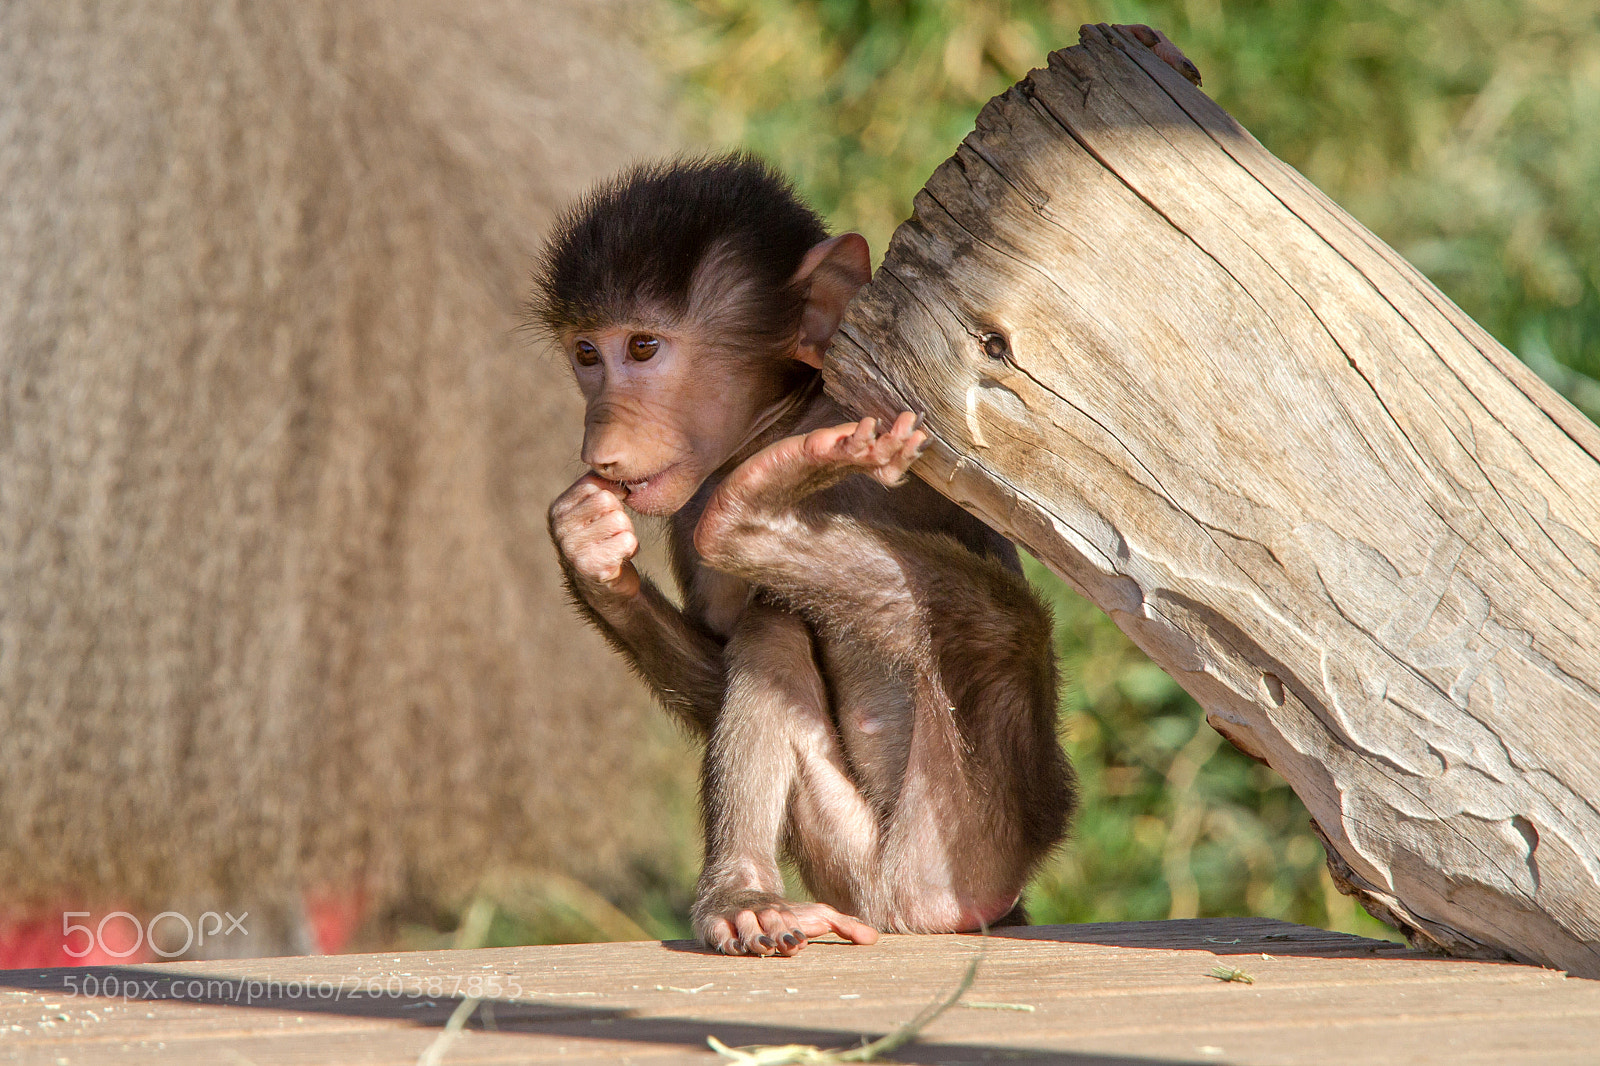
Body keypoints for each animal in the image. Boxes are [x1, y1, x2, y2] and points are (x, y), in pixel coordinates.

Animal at [534, 155, 1077, 957]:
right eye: (586, 353)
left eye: (642, 347)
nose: (598, 440)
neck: (780, 422)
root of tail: (920, 909)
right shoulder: (687, 510)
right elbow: (724, 658)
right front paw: (592, 556)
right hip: (852, 866)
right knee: (775, 628)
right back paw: (746, 896)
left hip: (972, 826)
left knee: (999, 628)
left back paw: (749, 513)